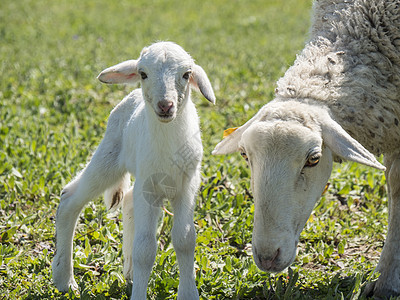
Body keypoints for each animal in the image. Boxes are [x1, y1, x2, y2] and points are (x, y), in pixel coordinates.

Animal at [52, 41, 216, 300]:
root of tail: (133, 95)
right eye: (143, 73)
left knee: (128, 200)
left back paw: (128, 273)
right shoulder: (148, 188)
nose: (165, 105)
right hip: (109, 156)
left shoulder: (187, 186)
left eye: (186, 74)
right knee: (70, 198)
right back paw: (65, 280)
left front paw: (189, 293)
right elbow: (145, 249)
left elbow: (185, 239)